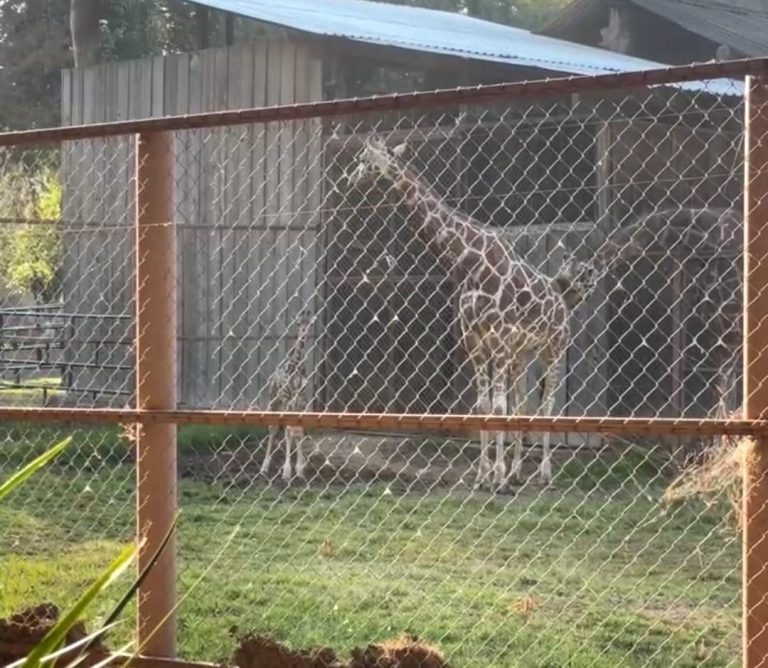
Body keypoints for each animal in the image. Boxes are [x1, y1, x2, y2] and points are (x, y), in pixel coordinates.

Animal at [260, 310, 313, 482]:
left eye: (309, 324)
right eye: (298, 323)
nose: (303, 334)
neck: (295, 367)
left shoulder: (301, 400)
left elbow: (299, 431)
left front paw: (300, 469)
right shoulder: (288, 398)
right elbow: (289, 430)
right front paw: (287, 471)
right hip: (274, 400)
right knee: (273, 428)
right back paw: (264, 467)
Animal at [346, 138, 598, 490]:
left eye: (363, 159)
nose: (350, 179)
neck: (469, 262)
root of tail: (562, 297)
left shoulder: (500, 338)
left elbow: (499, 407)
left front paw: (498, 478)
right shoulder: (476, 341)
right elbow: (484, 407)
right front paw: (484, 477)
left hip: (554, 347)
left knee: (547, 405)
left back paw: (544, 475)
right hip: (521, 355)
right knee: (522, 405)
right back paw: (518, 473)